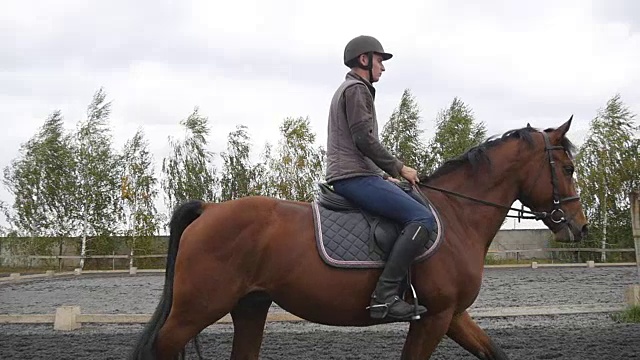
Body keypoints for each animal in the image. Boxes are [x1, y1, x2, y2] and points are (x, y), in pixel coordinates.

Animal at [130, 116, 592, 358]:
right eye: (568, 168)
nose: (579, 226)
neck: (457, 215)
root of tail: (209, 209)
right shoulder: (435, 316)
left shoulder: (453, 314)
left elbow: (493, 352)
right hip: (197, 309)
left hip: (250, 306)